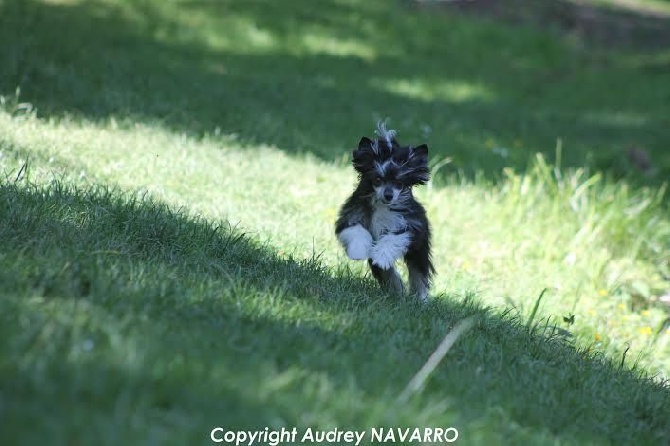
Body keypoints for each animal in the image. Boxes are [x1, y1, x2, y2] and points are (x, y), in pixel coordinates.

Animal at [336, 122, 436, 302]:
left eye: (399, 183)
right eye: (377, 180)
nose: (388, 195)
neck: (382, 206)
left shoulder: (409, 226)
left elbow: (391, 239)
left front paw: (381, 257)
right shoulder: (350, 217)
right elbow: (357, 231)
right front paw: (357, 251)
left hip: (419, 249)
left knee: (418, 273)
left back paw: (420, 298)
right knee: (386, 272)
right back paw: (396, 289)